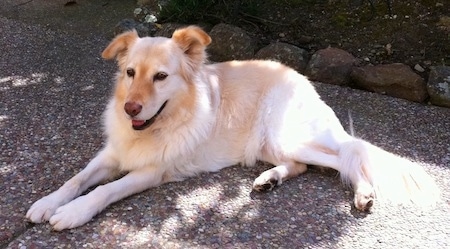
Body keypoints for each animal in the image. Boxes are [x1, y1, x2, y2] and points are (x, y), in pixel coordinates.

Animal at [25, 25, 440, 230]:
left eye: (161, 76)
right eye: (129, 73)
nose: (130, 109)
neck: (161, 123)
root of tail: (299, 76)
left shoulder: (151, 171)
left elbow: (103, 190)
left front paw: (73, 213)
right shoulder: (111, 154)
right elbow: (77, 180)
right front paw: (47, 203)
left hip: (288, 135)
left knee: (348, 156)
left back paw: (364, 192)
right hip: (271, 145)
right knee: (305, 165)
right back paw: (269, 179)